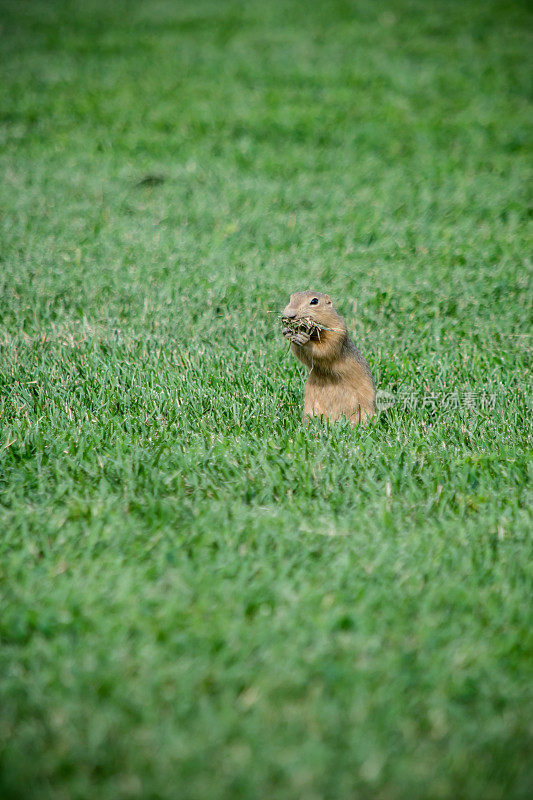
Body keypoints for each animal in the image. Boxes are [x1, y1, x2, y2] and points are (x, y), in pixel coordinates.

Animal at [282, 292, 374, 424]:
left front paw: (303, 338)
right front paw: (287, 331)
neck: (316, 332)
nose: (290, 314)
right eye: (291, 298)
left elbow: (325, 349)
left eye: (314, 301)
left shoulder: (337, 331)